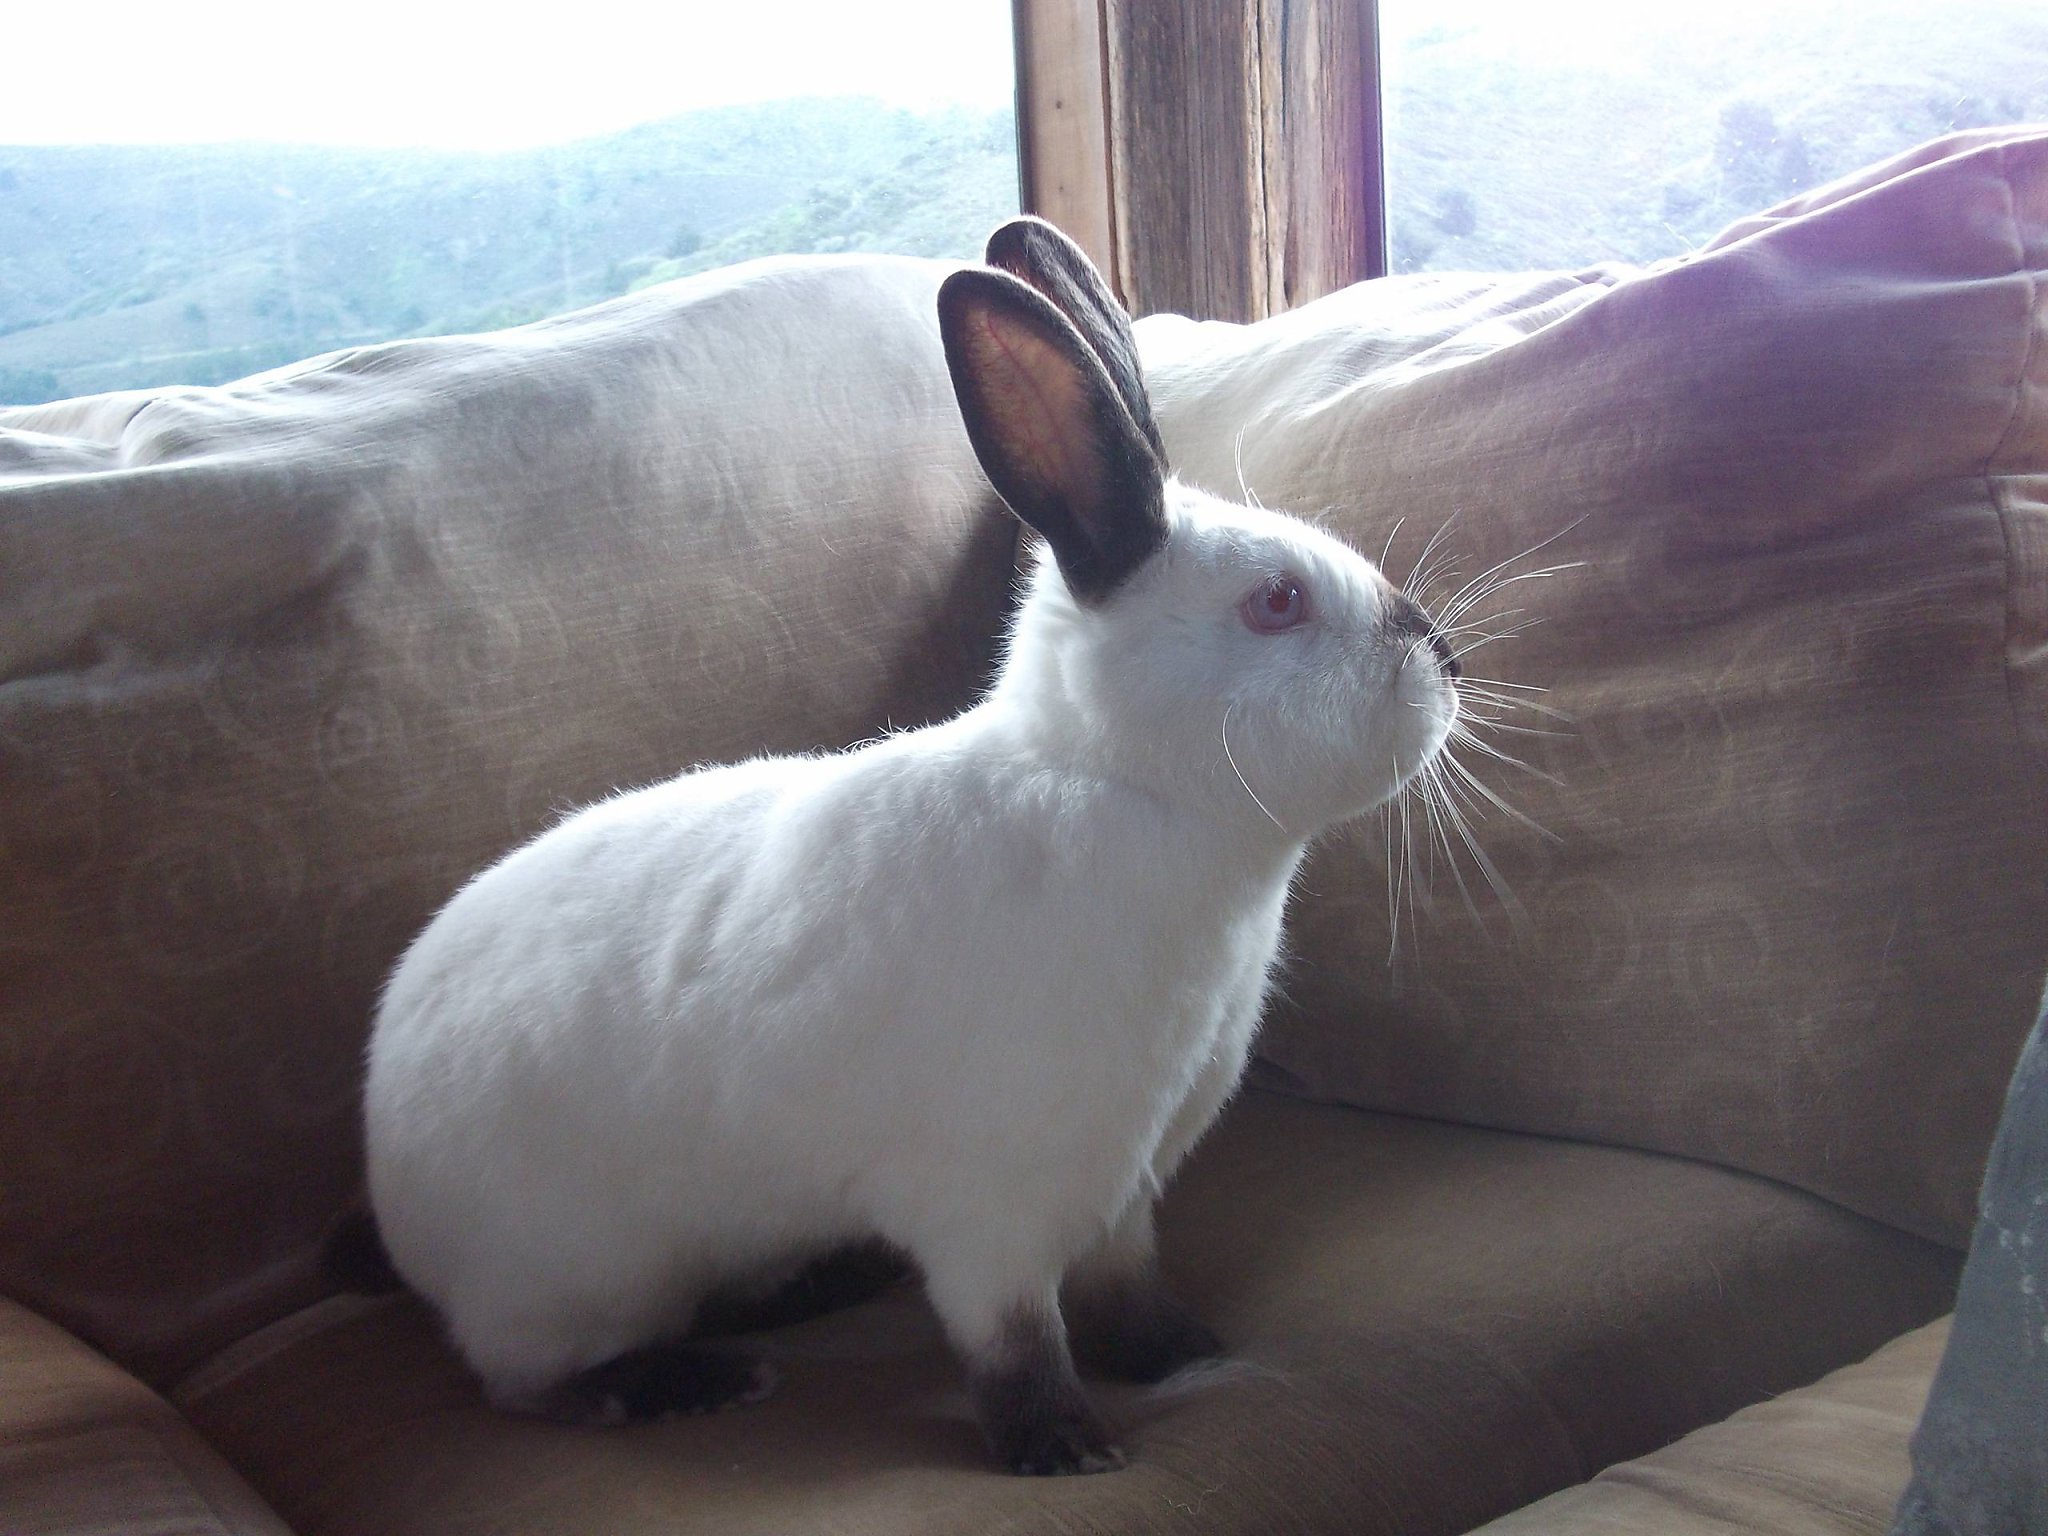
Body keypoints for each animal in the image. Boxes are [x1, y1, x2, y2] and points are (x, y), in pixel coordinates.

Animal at [361, 215, 1461, 1476]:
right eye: (1276, 602)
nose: (1445, 664)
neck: (1117, 785)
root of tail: (389, 1186)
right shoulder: (996, 1209)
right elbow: (1011, 1342)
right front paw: (1065, 1450)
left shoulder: (1121, 1183)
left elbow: (1126, 1290)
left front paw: (1182, 1351)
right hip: (577, 1274)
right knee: (523, 1380)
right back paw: (684, 1382)